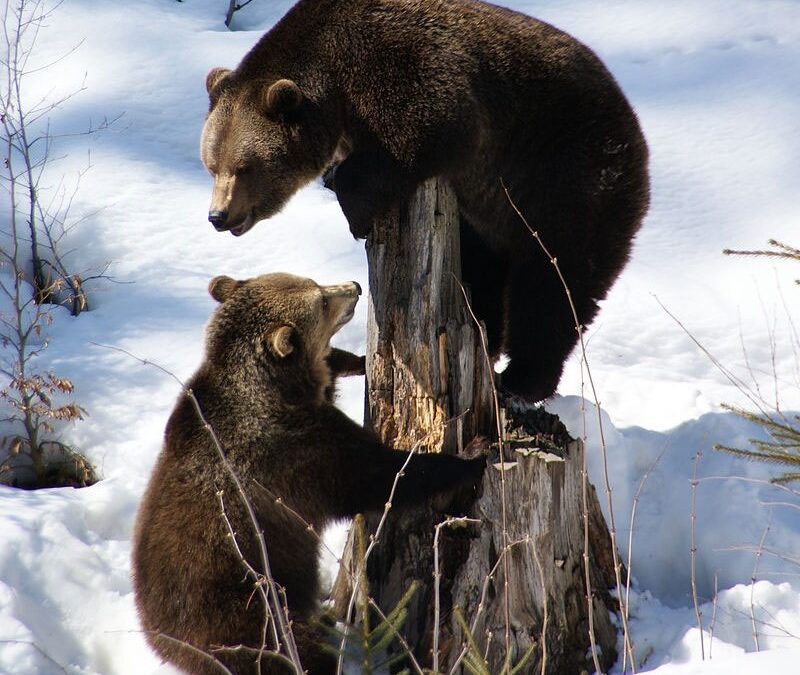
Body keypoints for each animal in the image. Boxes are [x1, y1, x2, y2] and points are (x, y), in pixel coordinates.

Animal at [132, 272, 484, 672]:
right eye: (322, 303)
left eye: (313, 282)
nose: (353, 287)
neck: (277, 393)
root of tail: (161, 639)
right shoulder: (296, 455)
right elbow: (376, 476)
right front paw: (471, 456)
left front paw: (355, 359)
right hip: (251, 609)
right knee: (295, 648)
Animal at [200, 0, 648, 402]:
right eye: (211, 164)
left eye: (244, 167)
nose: (218, 215)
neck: (333, 86)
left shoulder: (403, 67)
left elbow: (427, 128)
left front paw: (355, 209)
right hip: (488, 213)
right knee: (484, 266)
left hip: (568, 174)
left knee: (554, 279)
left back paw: (522, 381)